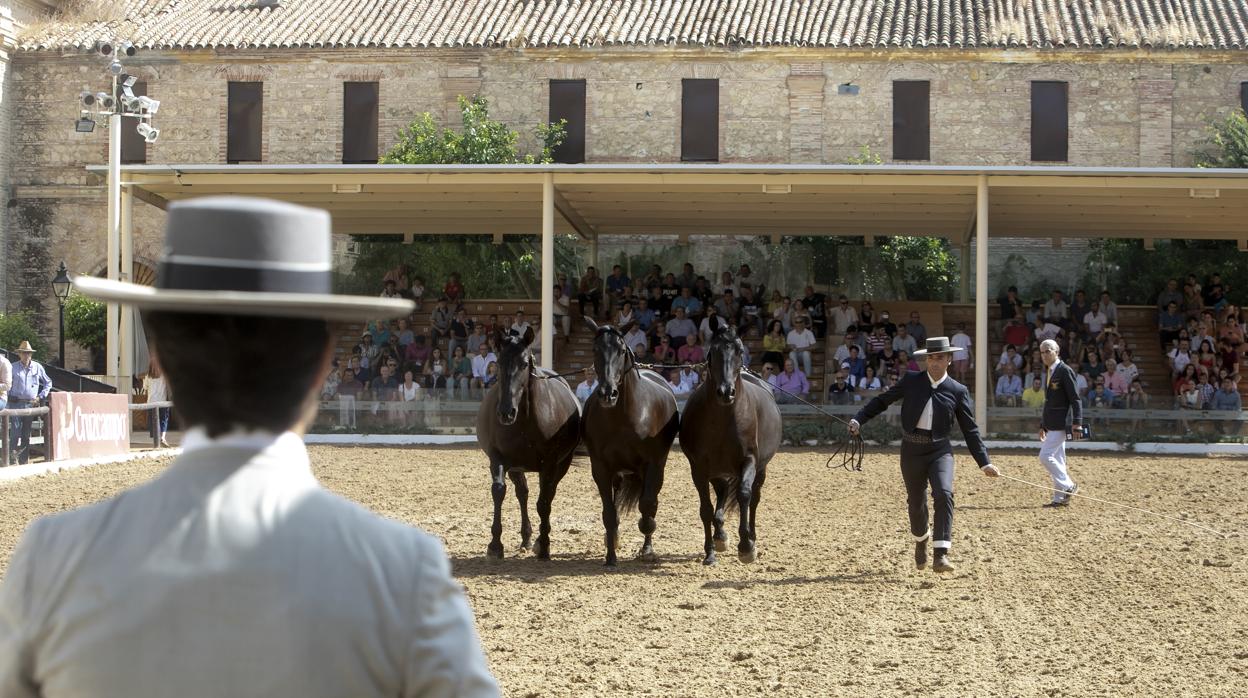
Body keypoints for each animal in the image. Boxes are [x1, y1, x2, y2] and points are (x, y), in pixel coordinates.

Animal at [474, 327, 581, 561]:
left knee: (547, 494)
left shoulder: (550, 463)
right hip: (517, 467)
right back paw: (526, 537)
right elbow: (499, 491)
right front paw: (495, 545)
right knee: (522, 494)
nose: (506, 412)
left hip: (559, 465)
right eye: (499, 362)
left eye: (524, 364)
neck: (525, 419)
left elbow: (544, 501)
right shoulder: (498, 458)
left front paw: (545, 544)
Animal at [579, 319, 678, 564]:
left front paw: (647, 543)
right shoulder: (601, 468)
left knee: (651, 501)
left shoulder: (651, 465)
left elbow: (648, 505)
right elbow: (609, 512)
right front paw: (611, 556)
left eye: (621, 350)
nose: (608, 393)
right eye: (595, 349)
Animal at [678, 319, 773, 564]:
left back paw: (752, 536)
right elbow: (706, 508)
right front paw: (710, 552)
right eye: (713, 351)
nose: (726, 392)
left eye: (739, 350)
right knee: (721, 492)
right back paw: (720, 536)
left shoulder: (749, 461)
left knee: (754, 498)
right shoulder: (699, 468)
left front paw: (746, 546)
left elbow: (744, 495)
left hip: (761, 468)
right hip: (717, 470)